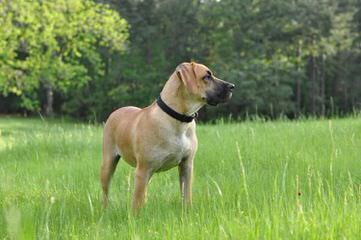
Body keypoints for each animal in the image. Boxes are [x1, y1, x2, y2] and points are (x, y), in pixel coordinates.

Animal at [100, 62, 233, 213]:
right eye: (206, 76)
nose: (232, 86)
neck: (179, 119)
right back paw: (104, 210)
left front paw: (187, 212)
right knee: (105, 192)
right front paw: (135, 217)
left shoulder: (186, 165)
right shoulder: (142, 170)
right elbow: (136, 202)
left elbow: (186, 195)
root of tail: (116, 111)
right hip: (109, 163)